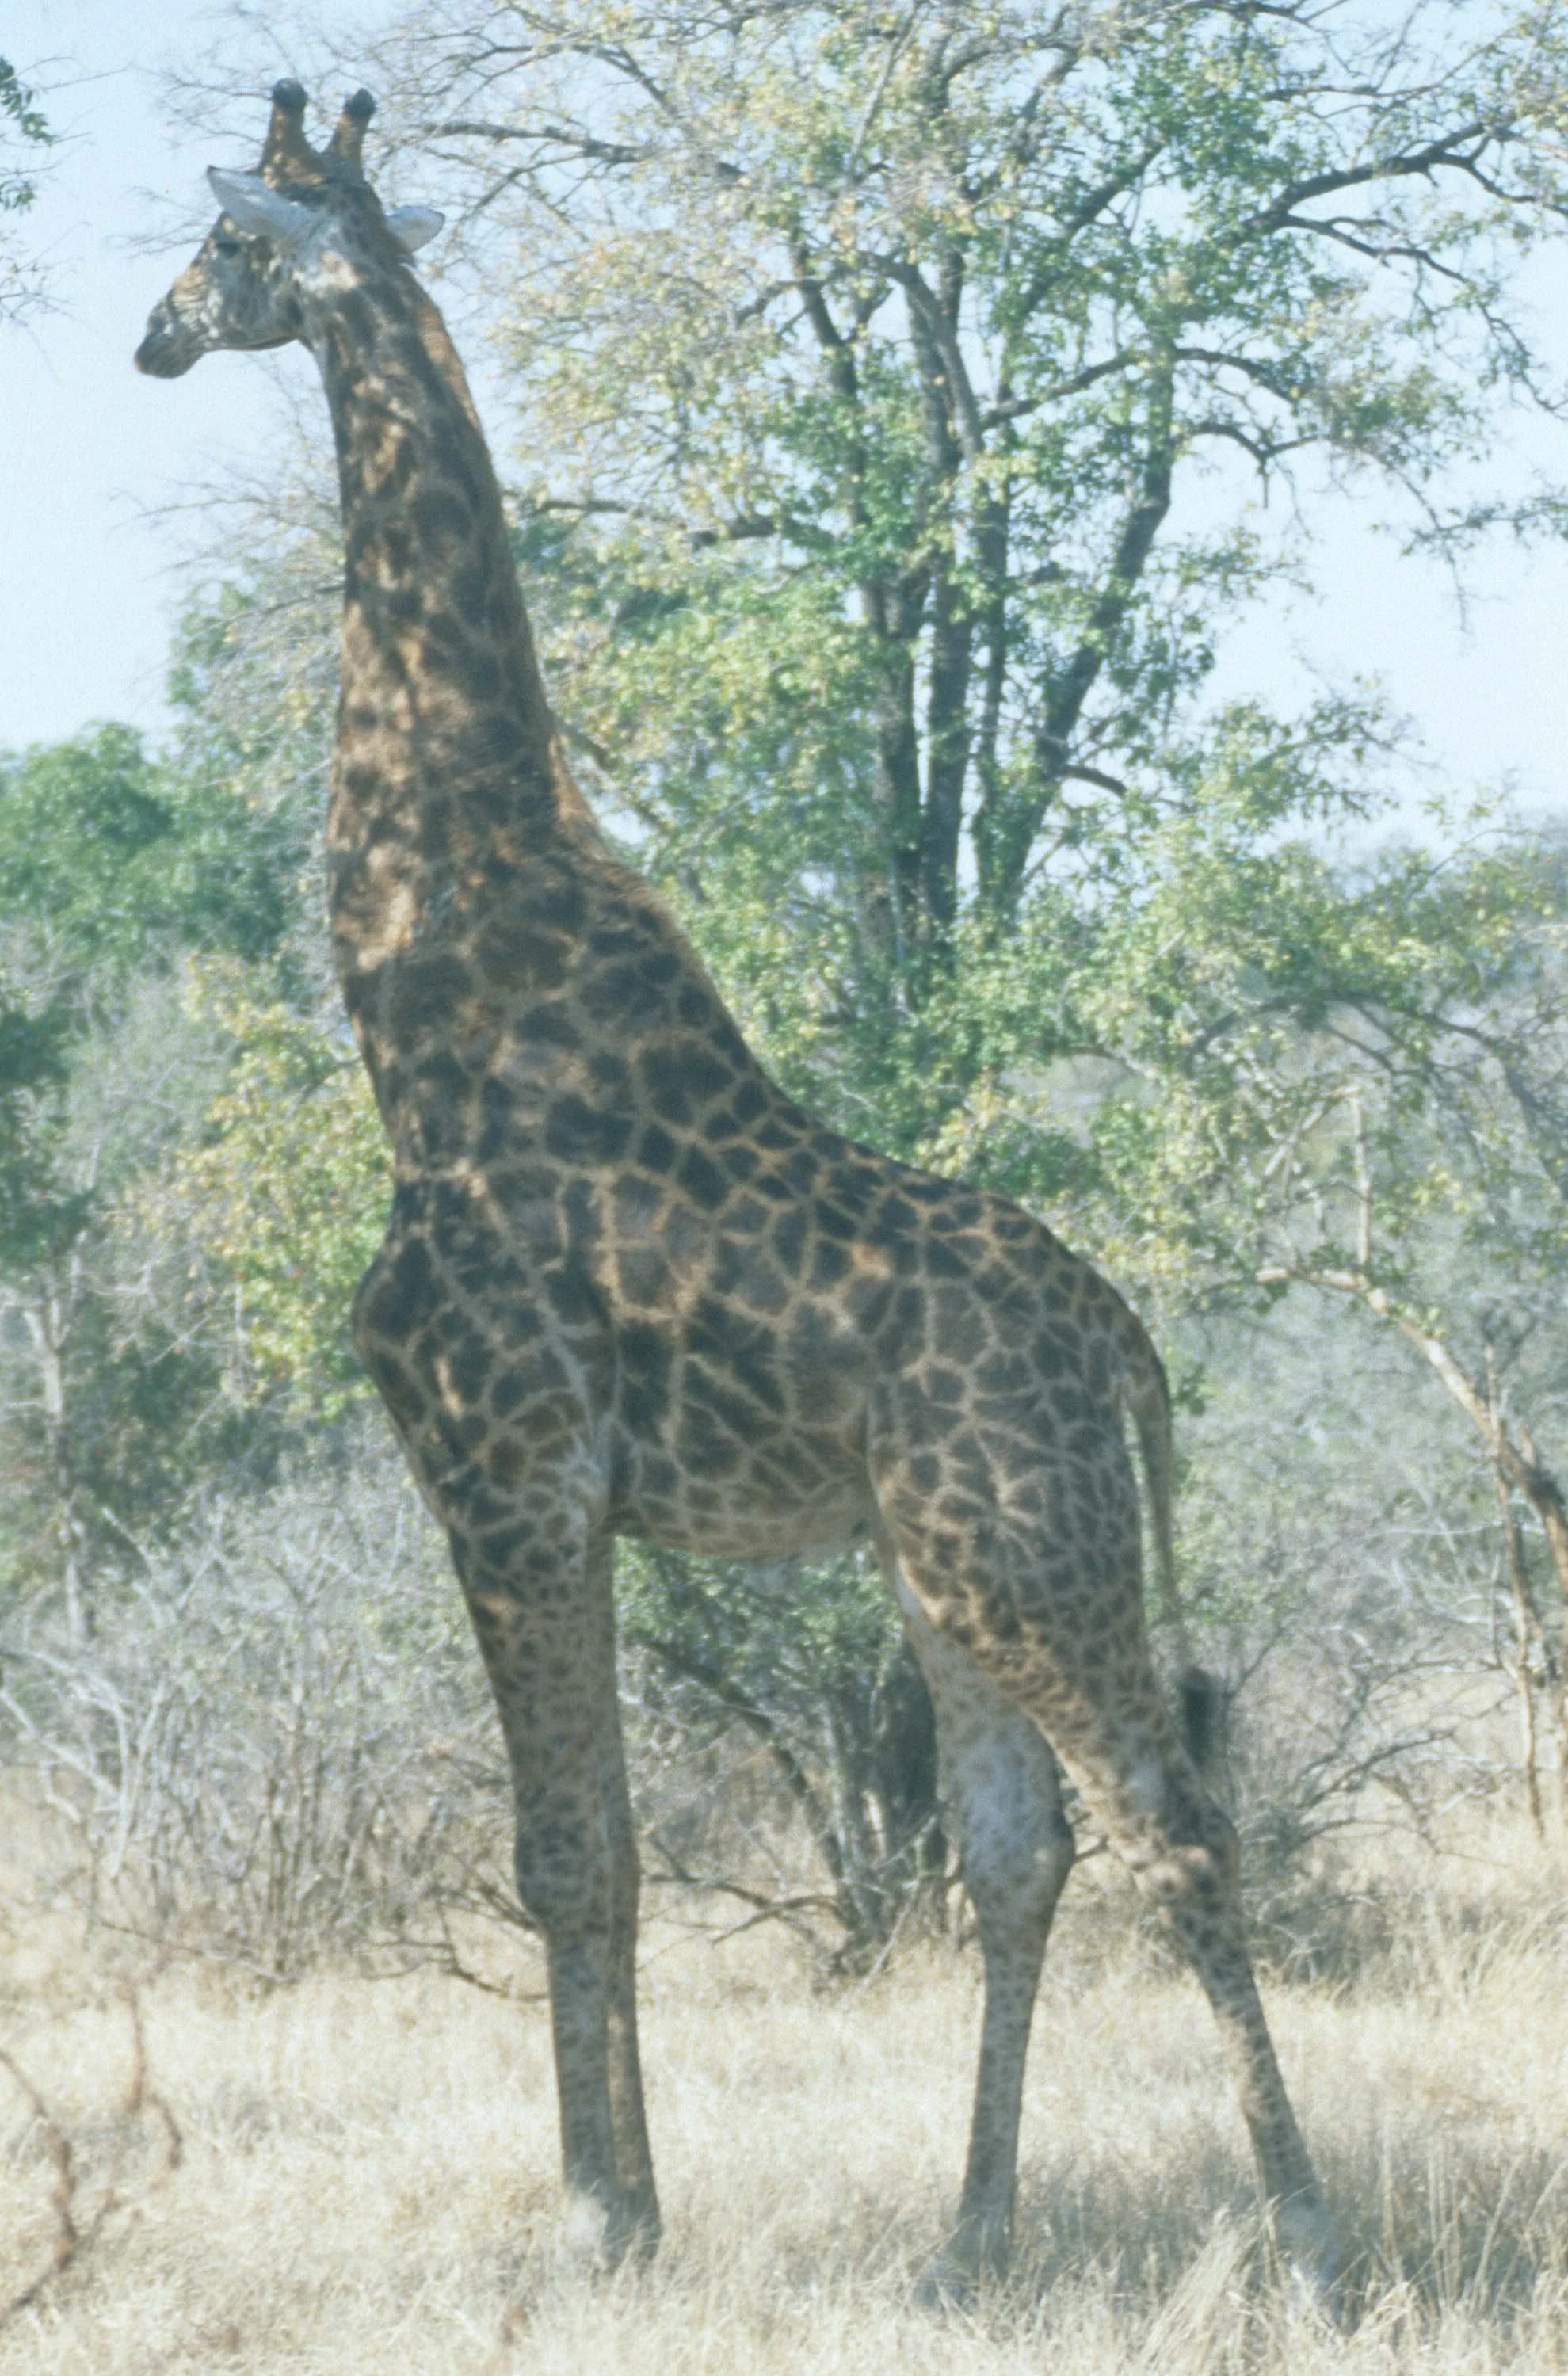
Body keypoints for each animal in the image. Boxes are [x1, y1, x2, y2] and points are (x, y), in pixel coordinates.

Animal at [135, 83, 1338, 2302]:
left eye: (234, 245)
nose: (153, 335)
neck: (413, 984)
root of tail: (1125, 1340)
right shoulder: (555, 1493)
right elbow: (606, 1850)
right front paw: (634, 2208)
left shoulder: (504, 1467)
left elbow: (567, 1853)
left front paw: (595, 2221)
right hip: (941, 1562)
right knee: (1018, 1847)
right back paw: (964, 2242)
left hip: (1030, 1552)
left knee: (1171, 1825)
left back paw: (1303, 2240)